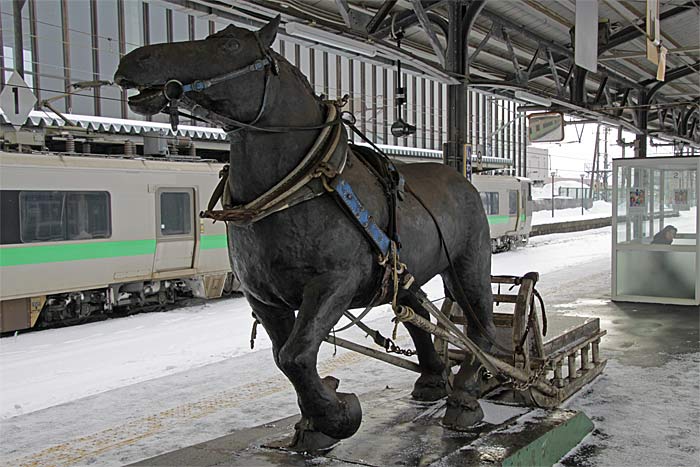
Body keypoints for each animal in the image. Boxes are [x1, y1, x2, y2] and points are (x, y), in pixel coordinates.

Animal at [115, 16, 494, 452]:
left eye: (229, 44)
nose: (134, 59)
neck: (300, 185)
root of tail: (463, 179)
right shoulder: (263, 297)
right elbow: (284, 356)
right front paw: (315, 422)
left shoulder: (334, 283)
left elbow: (296, 355)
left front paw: (341, 413)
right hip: (404, 273)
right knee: (417, 316)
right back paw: (432, 381)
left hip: (468, 263)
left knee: (481, 324)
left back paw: (465, 396)